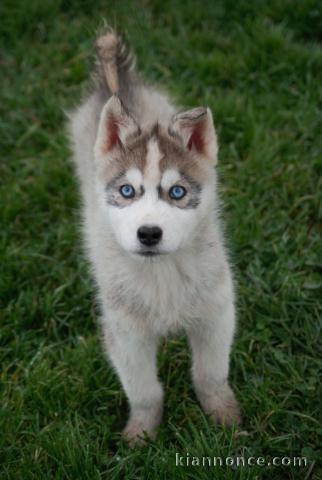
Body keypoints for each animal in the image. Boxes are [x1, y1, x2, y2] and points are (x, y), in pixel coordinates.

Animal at [70, 29, 242, 442]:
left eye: (177, 192)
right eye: (127, 191)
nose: (148, 233)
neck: (162, 273)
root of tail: (117, 85)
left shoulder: (217, 313)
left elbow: (211, 374)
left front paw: (224, 416)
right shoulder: (125, 334)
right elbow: (144, 390)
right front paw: (142, 433)